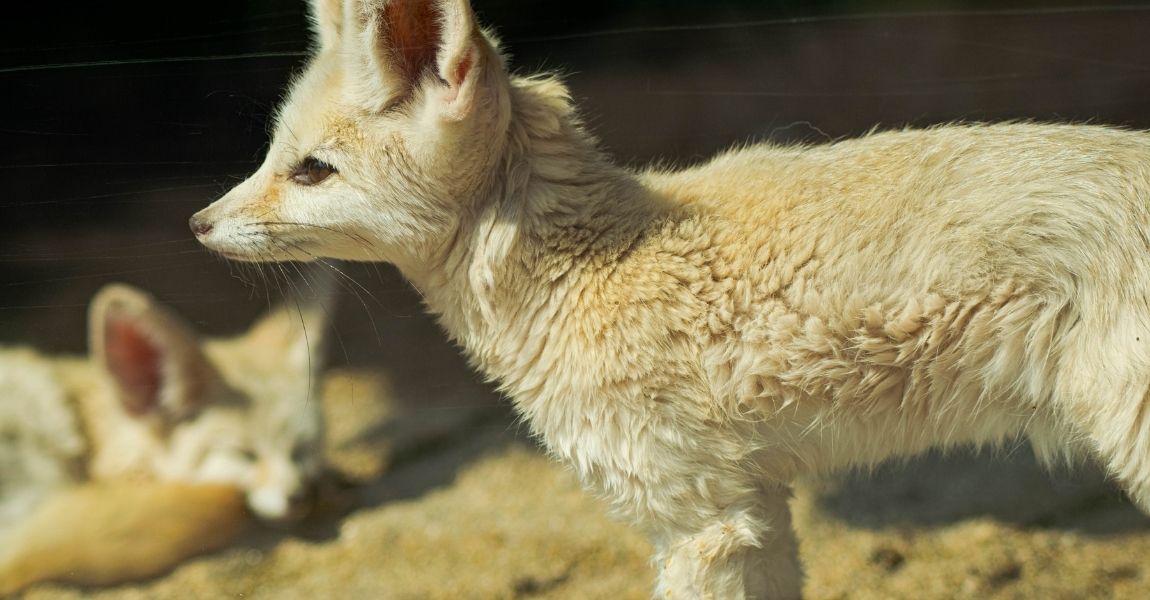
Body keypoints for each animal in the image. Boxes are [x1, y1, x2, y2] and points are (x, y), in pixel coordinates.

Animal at [188, 0, 1150, 593]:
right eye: (271, 156)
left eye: (312, 171)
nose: (198, 225)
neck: (591, 266)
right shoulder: (754, 510)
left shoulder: (702, 520)